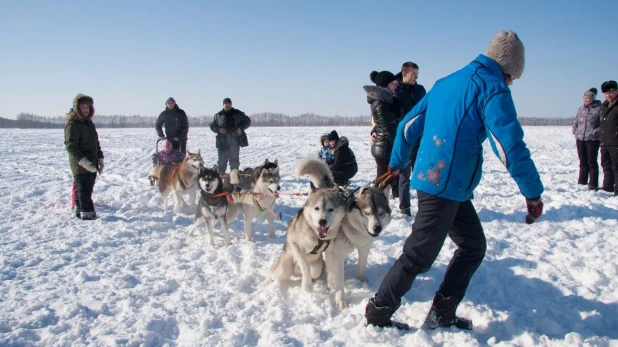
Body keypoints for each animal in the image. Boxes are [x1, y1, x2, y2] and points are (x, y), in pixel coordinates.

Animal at [262, 159, 346, 292]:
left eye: (331, 209)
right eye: (316, 208)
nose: (322, 221)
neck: (317, 237)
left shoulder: (330, 252)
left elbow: (327, 271)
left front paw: (332, 287)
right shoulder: (296, 245)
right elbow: (305, 266)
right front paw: (307, 287)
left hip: (318, 263)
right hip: (283, 268)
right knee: (273, 273)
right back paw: (263, 284)